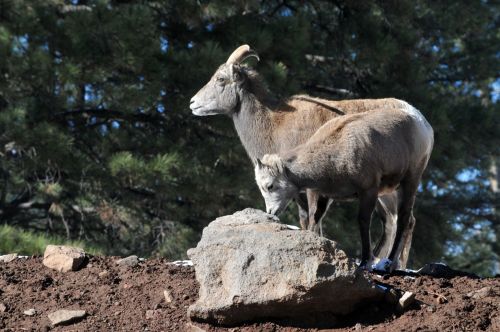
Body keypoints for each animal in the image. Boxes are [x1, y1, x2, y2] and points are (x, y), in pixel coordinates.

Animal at [254, 105, 434, 272]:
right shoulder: (323, 196)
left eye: (269, 186)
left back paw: (388, 265)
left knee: (403, 218)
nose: (270, 212)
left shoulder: (368, 190)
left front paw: (365, 263)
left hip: (409, 181)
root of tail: (423, 125)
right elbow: (314, 220)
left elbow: (363, 221)